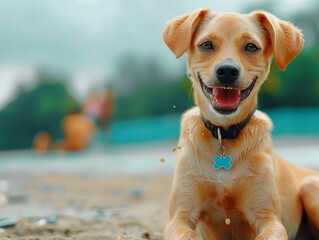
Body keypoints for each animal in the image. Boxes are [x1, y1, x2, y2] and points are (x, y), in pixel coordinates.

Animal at [162, 8, 319, 239]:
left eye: (251, 46)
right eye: (206, 44)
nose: (227, 71)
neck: (224, 133)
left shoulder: (268, 217)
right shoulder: (180, 214)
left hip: (309, 185)